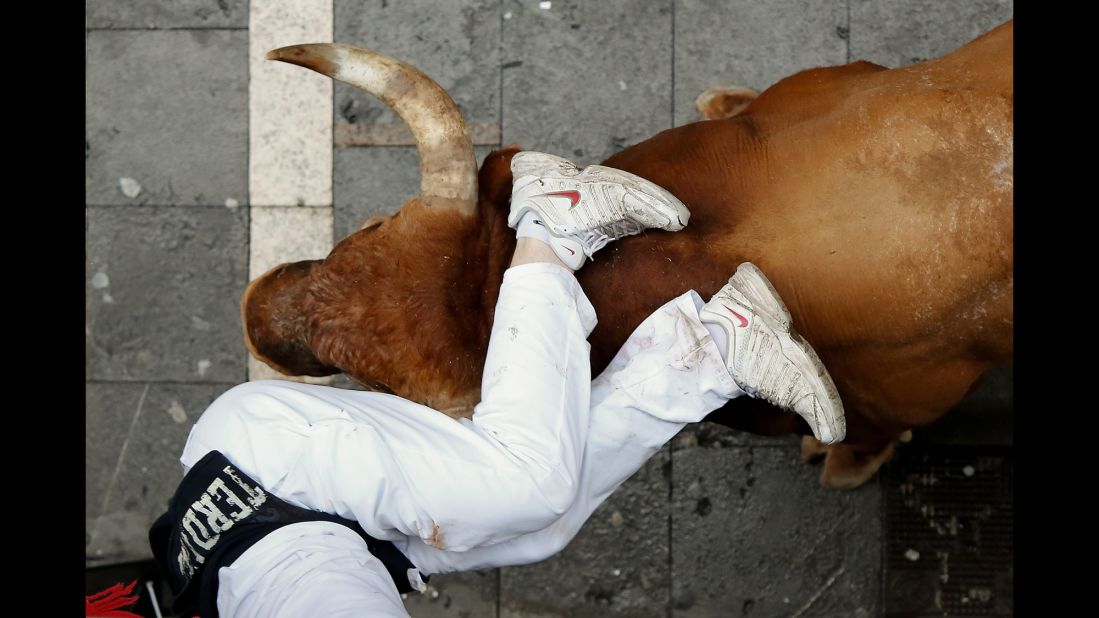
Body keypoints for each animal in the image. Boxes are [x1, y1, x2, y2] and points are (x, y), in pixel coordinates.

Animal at [242, 21, 1011, 488]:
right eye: (370, 227)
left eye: (375, 383)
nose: (258, 316)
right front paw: (725, 99)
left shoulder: (900, 403)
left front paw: (839, 463)